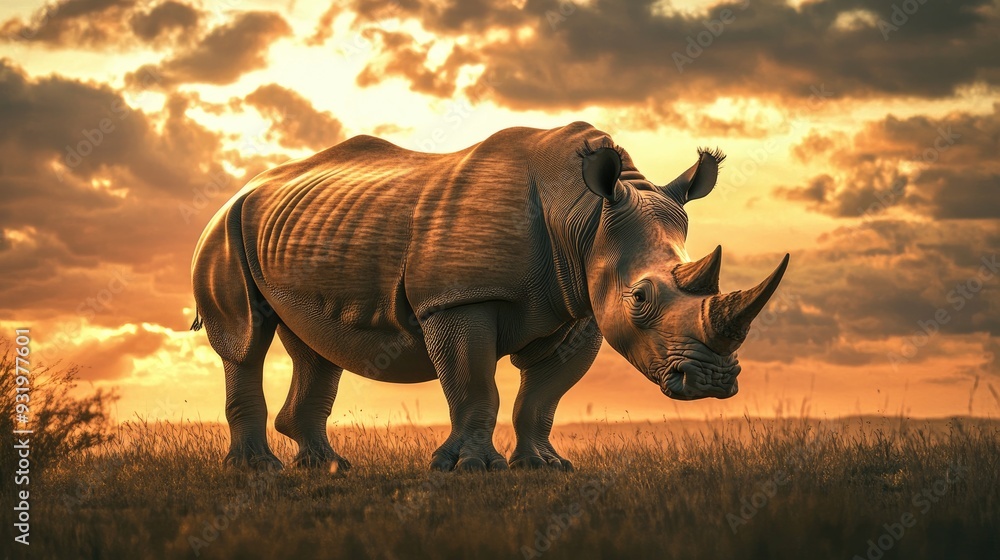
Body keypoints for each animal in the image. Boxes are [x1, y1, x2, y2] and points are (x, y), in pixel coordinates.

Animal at [190, 121, 788, 472]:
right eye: (640, 298)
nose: (711, 382)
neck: (585, 216)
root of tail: (246, 188)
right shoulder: (460, 298)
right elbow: (476, 385)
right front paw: (470, 468)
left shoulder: (579, 310)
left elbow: (543, 397)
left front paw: (544, 466)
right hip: (224, 228)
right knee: (244, 341)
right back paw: (257, 470)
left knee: (317, 349)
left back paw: (328, 467)